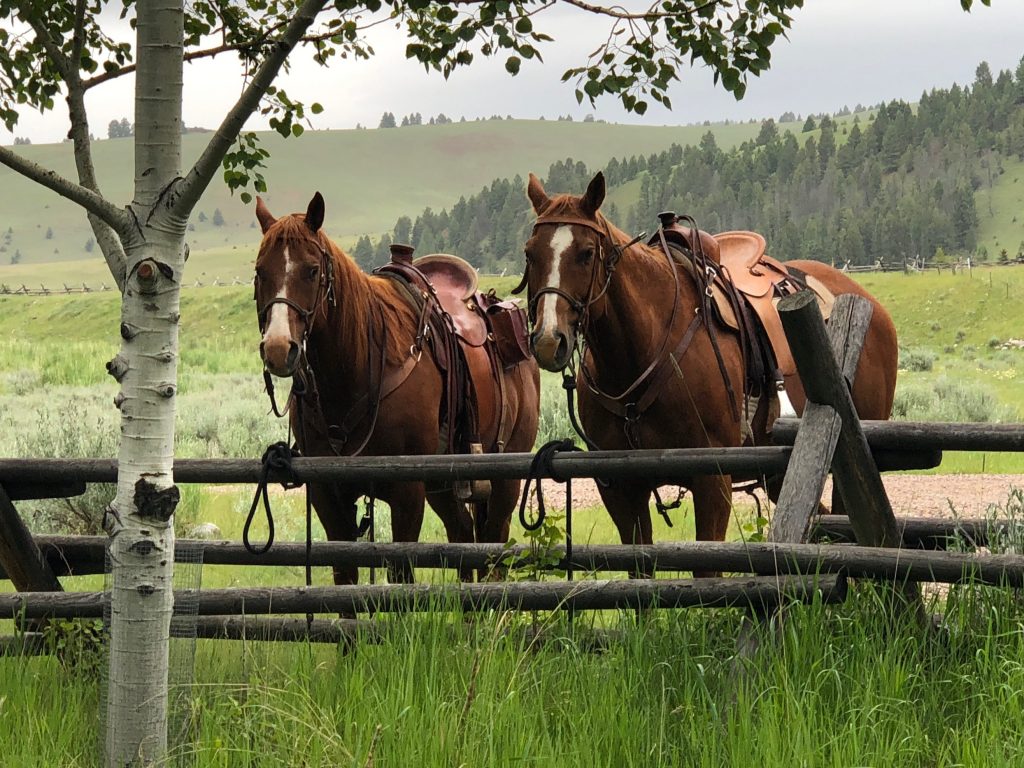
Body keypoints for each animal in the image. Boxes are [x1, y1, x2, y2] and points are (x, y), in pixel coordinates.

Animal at [256, 192, 540, 581]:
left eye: (312, 270)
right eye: (260, 272)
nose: (278, 348)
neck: (355, 372)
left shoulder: (407, 492)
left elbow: (400, 574)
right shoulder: (328, 495)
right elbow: (345, 578)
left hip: (504, 477)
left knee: (494, 547)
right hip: (444, 487)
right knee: (463, 535)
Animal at [520, 171, 897, 573]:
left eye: (586, 253)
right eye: (530, 253)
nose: (549, 339)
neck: (646, 347)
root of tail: (871, 306)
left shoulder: (712, 480)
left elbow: (706, 569)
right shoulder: (620, 489)